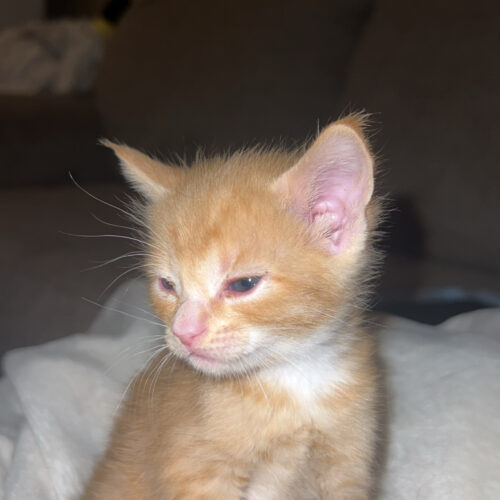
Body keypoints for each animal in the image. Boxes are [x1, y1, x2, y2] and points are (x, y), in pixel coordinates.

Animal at [81, 114, 382, 500]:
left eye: (242, 285)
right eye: (168, 285)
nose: (183, 332)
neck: (294, 384)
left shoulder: (347, 465)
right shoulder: (195, 469)